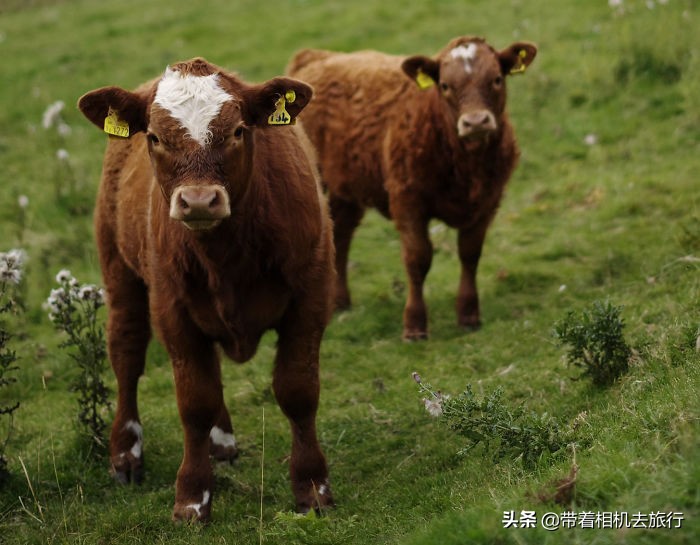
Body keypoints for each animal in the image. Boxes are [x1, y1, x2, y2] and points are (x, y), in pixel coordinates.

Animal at [79, 57, 336, 520]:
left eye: (237, 131)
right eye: (155, 137)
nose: (198, 201)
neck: (228, 255)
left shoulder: (312, 298)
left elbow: (298, 391)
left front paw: (312, 486)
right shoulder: (172, 311)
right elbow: (194, 401)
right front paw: (192, 496)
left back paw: (221, 440)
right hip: (119, 273)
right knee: (126, 354)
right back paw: (126, 453)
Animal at [288, 36, 540, 338]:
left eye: (497, 79)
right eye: (445, 85)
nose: (476, 122)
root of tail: (317, 56)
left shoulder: (487, 203)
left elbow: (470, 254)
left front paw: (469, 315)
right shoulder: (408, 202)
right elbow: (418, 260)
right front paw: (414, 324)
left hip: (345, 190)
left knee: (342, 233)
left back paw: (339, 301)